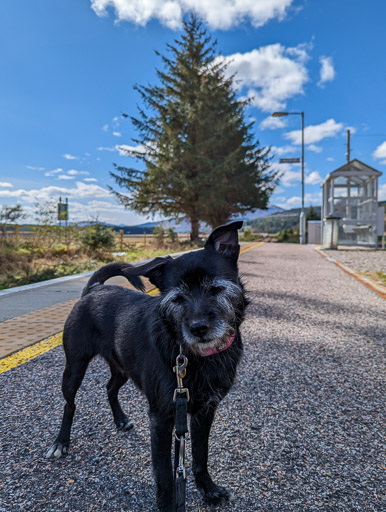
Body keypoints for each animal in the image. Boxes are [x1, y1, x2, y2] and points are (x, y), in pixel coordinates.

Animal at [46, 221, 247, 512]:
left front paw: (209, 490)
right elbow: (164, 475)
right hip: (74, 367)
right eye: (177, 298)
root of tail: (94, 289)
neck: (196, 357)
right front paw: (169, 505)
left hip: (121, 368)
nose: (198, 328)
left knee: (110, 388)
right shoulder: (161, 419)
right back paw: (61, 442)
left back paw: (120, 419)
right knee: (69, 404)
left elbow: (200, 456)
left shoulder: (205, 411)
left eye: (216, 289)